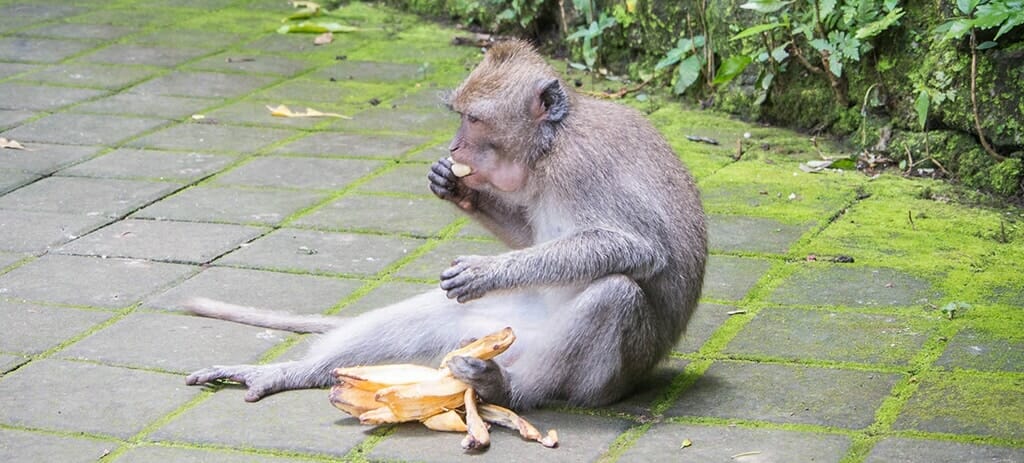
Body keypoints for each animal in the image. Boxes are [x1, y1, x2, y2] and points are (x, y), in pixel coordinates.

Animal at [183, 39, 706, 410]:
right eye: (460, 118)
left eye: (474, 119)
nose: (454, 148)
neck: (549, 146)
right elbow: (531, 236)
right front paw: (455, 187)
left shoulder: (582, 166)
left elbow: (639, 247)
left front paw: (485, 271)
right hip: (496, 327)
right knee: (429, 319)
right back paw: (290, 374)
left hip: (603, 380)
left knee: (614, 294)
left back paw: (509, 391)